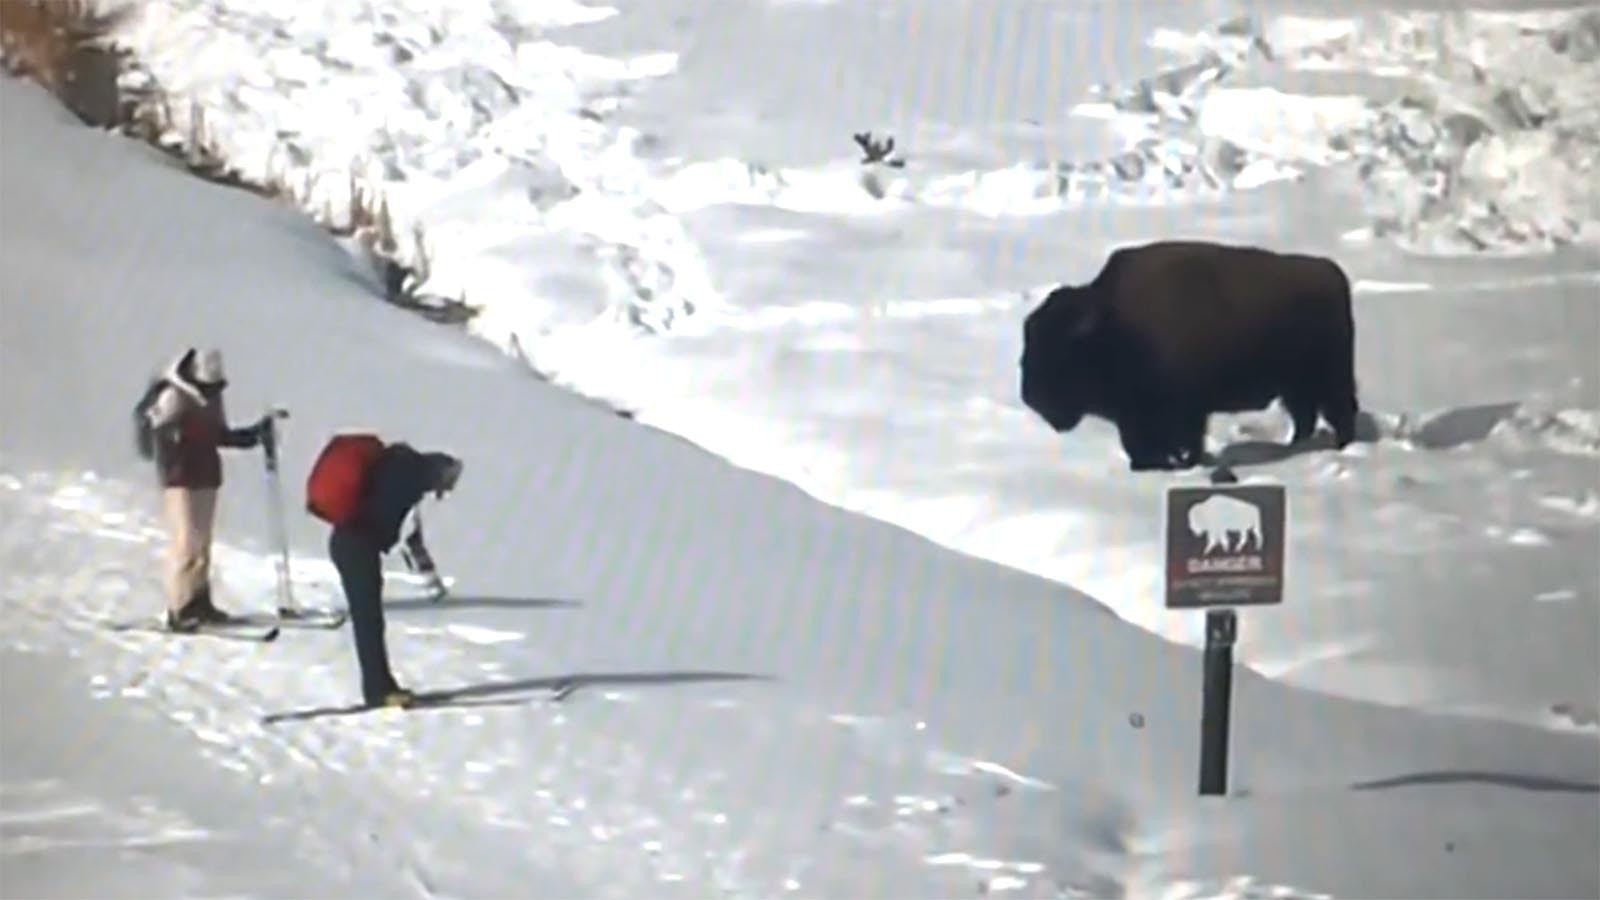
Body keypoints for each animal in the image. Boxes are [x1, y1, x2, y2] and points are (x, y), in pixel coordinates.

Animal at [1017, 241, 1356, 474]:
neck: (1114, 325)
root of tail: (1332, 273)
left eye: (1059, 351)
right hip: (1295, 386)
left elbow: (1180, 441)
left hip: (1328, 378)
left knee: (1339, 412)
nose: (1031, 397)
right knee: (1306, 417)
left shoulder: (1180, 411)